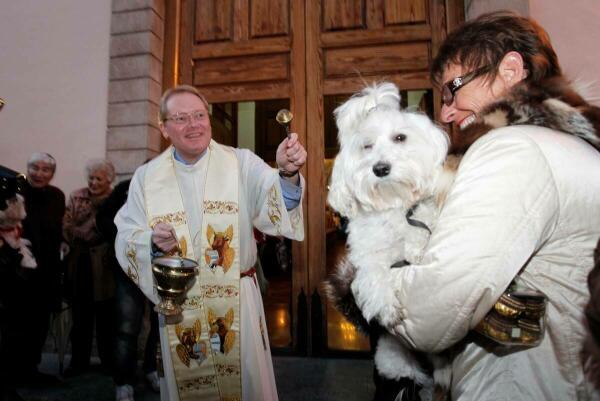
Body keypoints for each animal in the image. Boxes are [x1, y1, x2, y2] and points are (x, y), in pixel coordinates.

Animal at [328, 81, 454, 396]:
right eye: (367, 146)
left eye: (400, 138)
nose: (380, 168)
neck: (393, 203)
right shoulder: (365, 258)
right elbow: (373, 275)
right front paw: (386, 307)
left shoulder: (423, 217)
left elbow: (421, 231)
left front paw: (415, 247)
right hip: (392, 358)